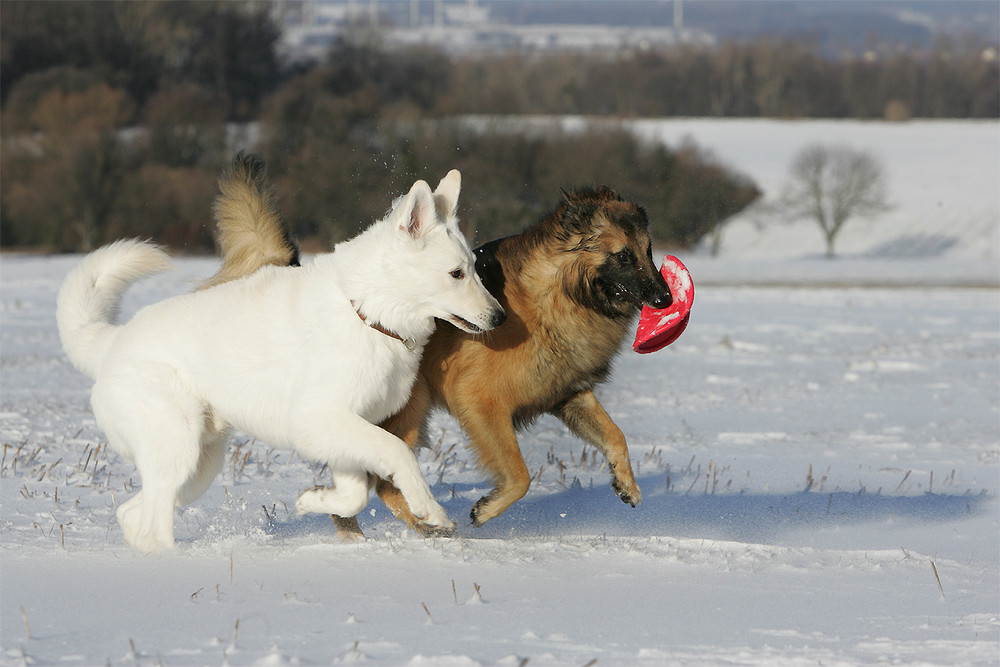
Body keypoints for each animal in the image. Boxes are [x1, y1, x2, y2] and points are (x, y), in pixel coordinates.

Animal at [57, 167, 504, 552]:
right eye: (457, 274)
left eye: (473, 268)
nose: (500, 317)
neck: (366, 310)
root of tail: (112, 341)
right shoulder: (322, 419)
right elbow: (398, 454)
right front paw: (430, 510)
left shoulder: (342, 430)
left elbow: (355, 495)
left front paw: (312, 501)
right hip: (177, 451)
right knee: (152, 525)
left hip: (198, 466)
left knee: (133, 511)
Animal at [208, 154, 672, 536]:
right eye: (623, 256)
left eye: (649, 251)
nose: (666, 298)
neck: (556, 293)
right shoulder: (480, 401)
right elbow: (520, 475)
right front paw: (485, 510)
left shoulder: (567, 393)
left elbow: (615, 435)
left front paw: (626, 483)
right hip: (408, 411)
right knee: (383, 483)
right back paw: (412, 526)